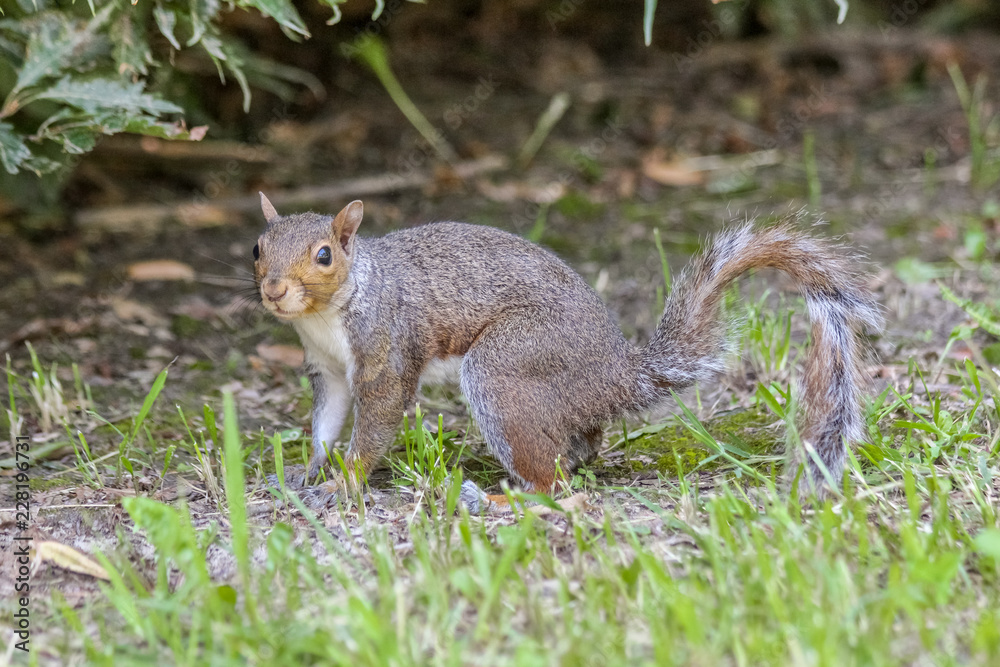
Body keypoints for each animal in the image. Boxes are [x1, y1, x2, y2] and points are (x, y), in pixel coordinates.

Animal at [253, 194, 882, 510]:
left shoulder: (386, 348)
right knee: (577, 451)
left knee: (556, 486)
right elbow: (327, 421)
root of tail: (615, 373)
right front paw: (307, 472)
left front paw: (342, 484)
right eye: (258, 247)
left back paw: (501, 500)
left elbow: (377, 418)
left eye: (325, 255)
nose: (274, 290)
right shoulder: (328, 370)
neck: (326, 316)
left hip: (505, 369)